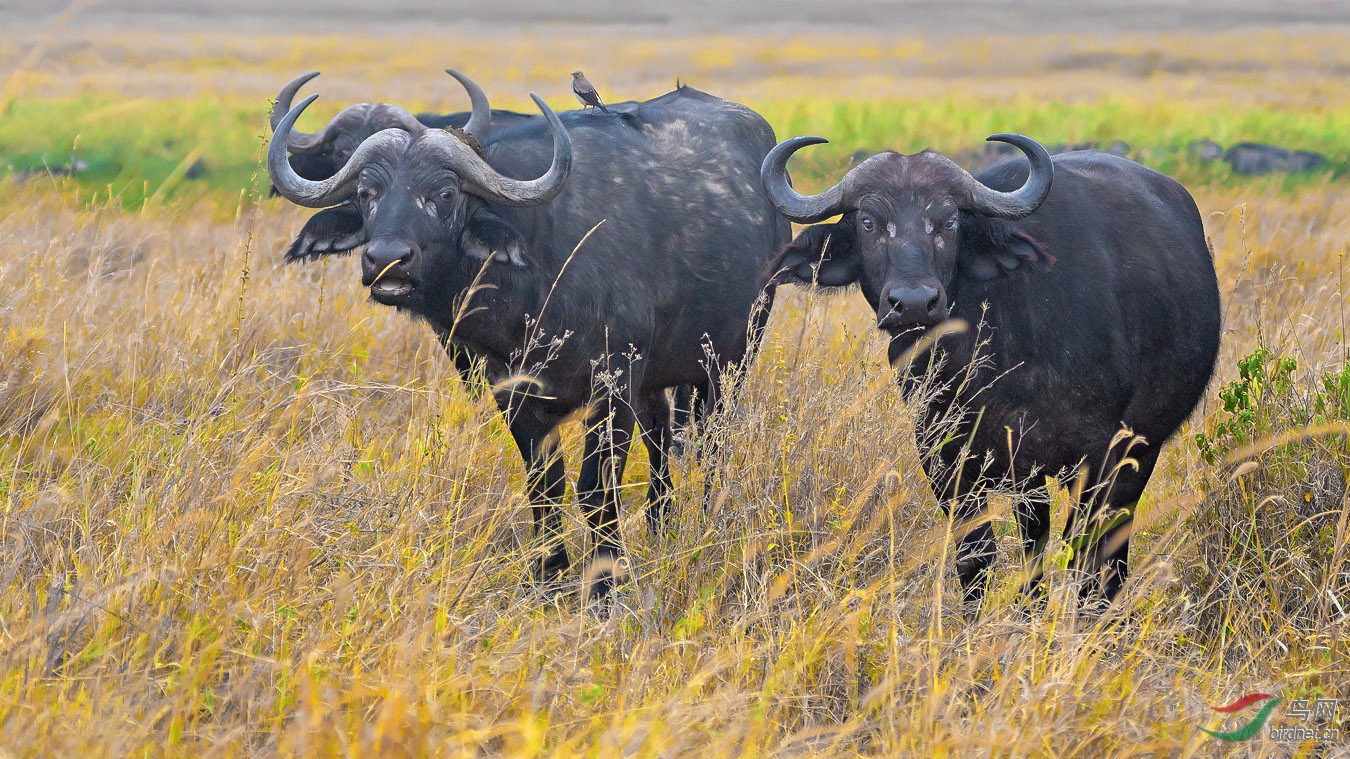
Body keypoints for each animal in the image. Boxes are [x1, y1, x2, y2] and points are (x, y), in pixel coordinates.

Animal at [267, 78, 788, 596]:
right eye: (366, 192)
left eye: (445, 193)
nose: (387, 259)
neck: (537, 273)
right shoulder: (510, 387)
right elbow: (544, 483)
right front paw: (548, 575)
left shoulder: (615, 380)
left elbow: (596, 490)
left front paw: (605, 583)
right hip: (661, 378)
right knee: (661, 440)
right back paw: (663, 526)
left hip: (733, 359)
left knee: (712, 443)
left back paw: (705, 521)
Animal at [761, 133, 1225, 610]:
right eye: (869, 223)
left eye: (948, 221)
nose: (913, 302)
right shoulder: (944, 455)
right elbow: (977, 553)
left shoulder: (1099, 454)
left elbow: (1086, 550)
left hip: (1140, 450)